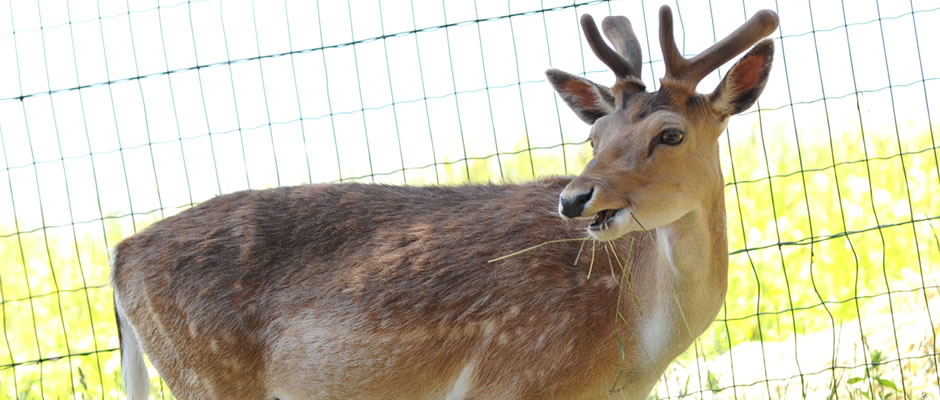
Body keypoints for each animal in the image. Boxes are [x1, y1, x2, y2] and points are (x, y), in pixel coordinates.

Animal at [112, 6, 780, 400]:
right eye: (595, 136)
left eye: (671, 134)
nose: (574, 198)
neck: (633, 355)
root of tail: (119, 257)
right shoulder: (510, 379)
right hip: (207, 377)